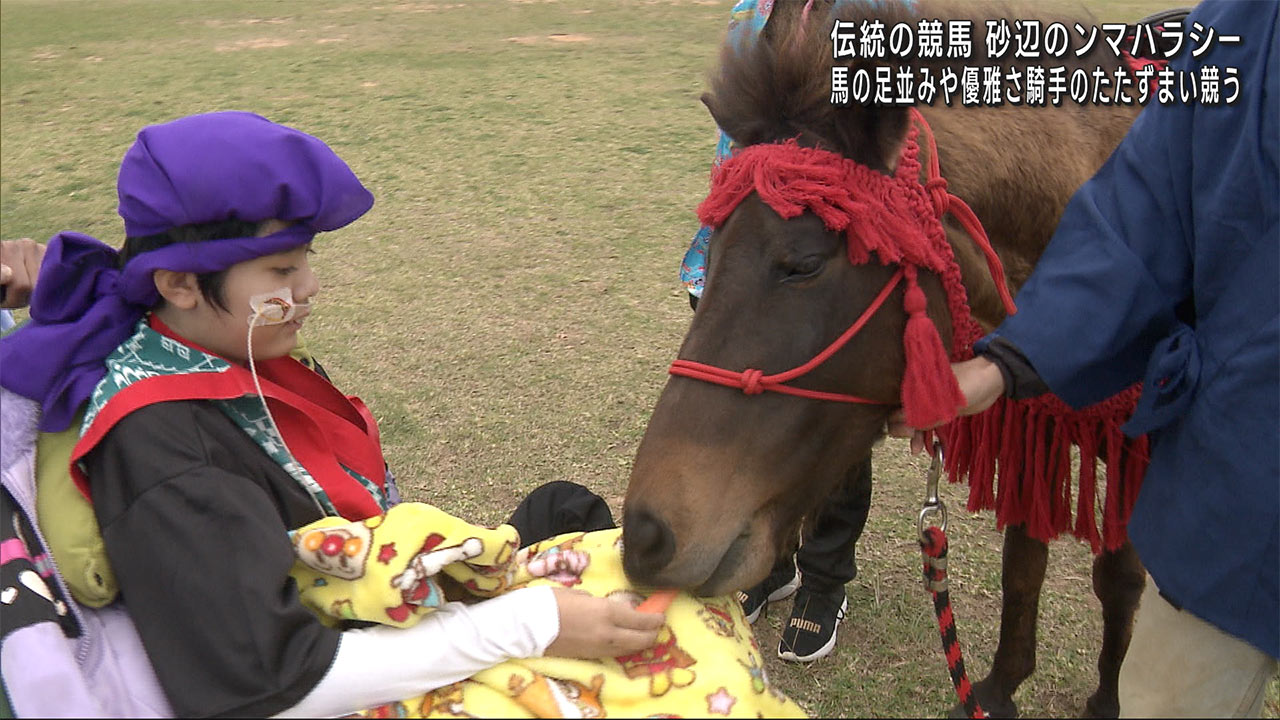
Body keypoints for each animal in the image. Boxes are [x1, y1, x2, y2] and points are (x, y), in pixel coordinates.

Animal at [616, 2, 1172, 712]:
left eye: (803, 263)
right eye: (707, 260)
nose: (645, 534)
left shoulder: (1141, 447)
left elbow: (1118, 577)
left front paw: (1108, 698)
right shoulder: (1033, 429)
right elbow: (1024, 565)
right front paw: (1001, 686)